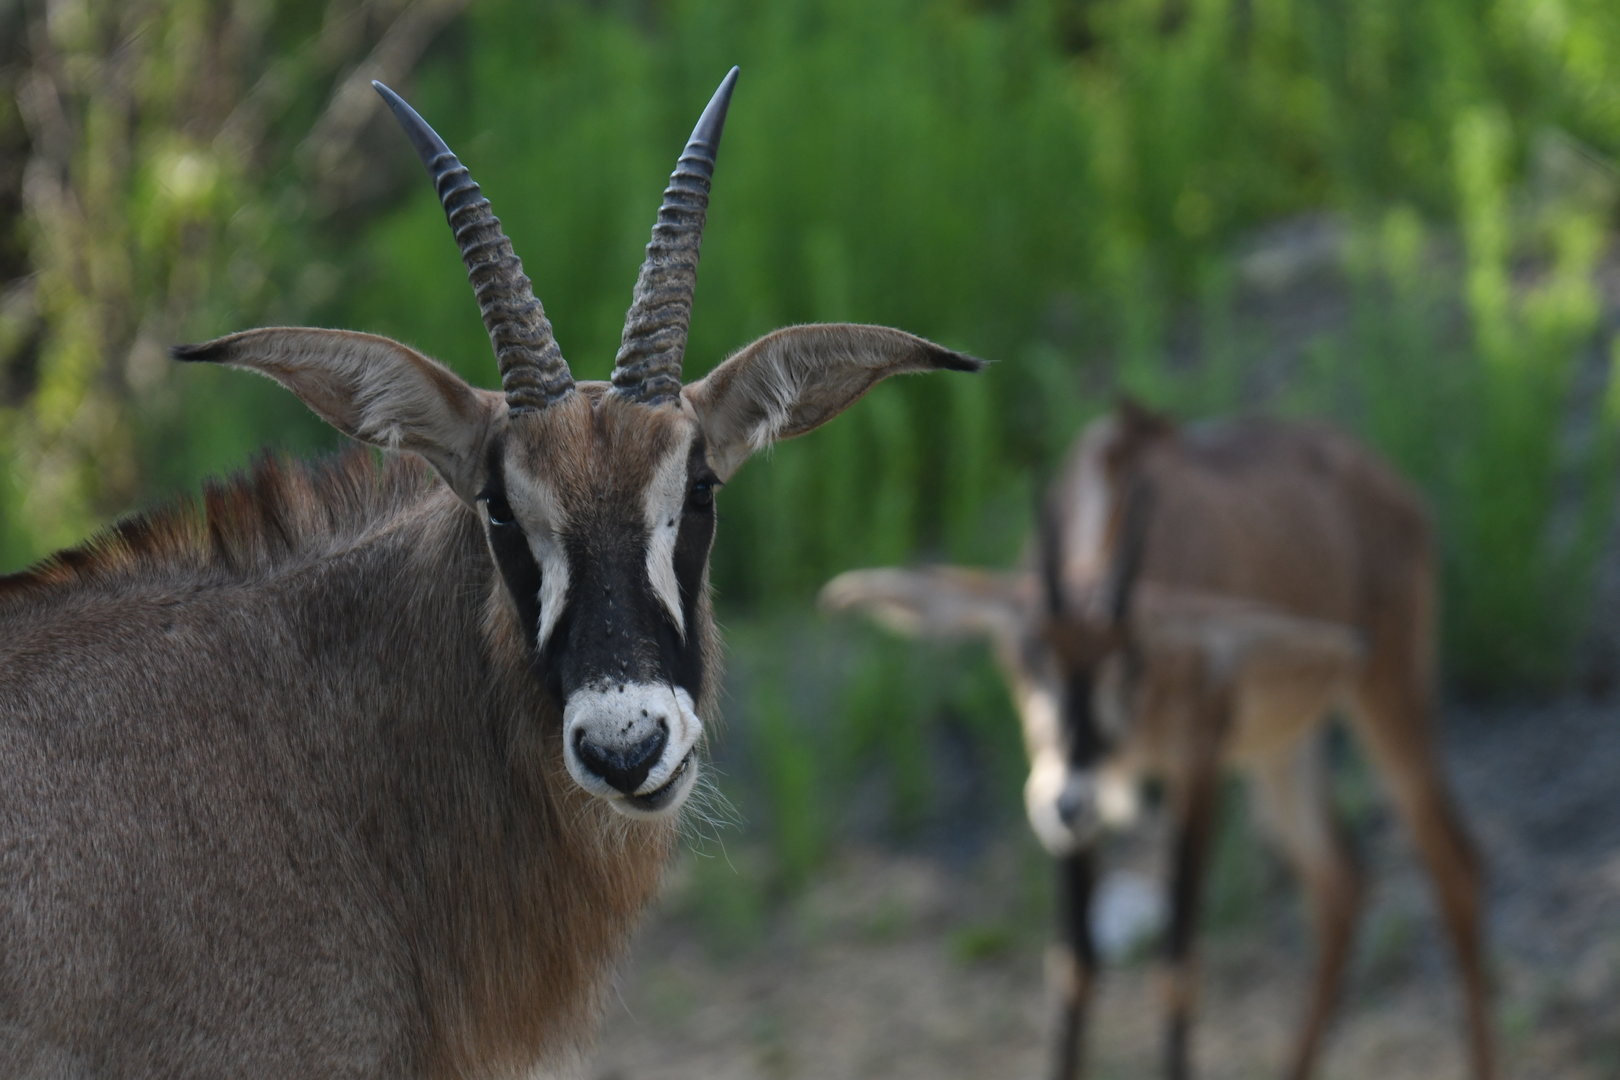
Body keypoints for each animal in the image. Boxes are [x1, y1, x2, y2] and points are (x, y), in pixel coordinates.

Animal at [822, 401, 1493, 1080]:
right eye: (1030, 654)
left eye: (1132, 662)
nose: (1070, 801)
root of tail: (1390, 487)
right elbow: (1074, 969)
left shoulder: (1198, 762)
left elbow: (1178, 970)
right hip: (1279, 751)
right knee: (1340, 883)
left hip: (1389, 690)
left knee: (1453, 861)